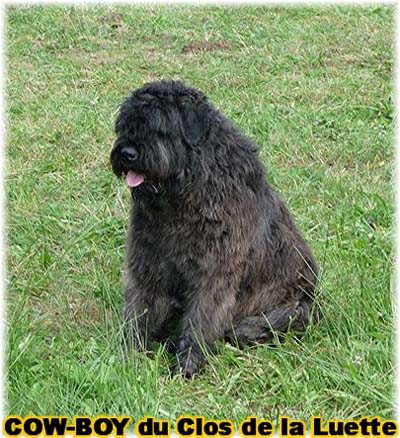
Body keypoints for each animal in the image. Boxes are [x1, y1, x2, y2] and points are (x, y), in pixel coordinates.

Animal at [110, 80, 318, 378]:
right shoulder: (146, 261)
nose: (127, 153)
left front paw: (186, 366)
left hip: (289, 310)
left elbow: (200, 320)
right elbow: (139, 311)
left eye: (160, 127)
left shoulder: (214, 273)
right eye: (125, 126)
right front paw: (128, 357)